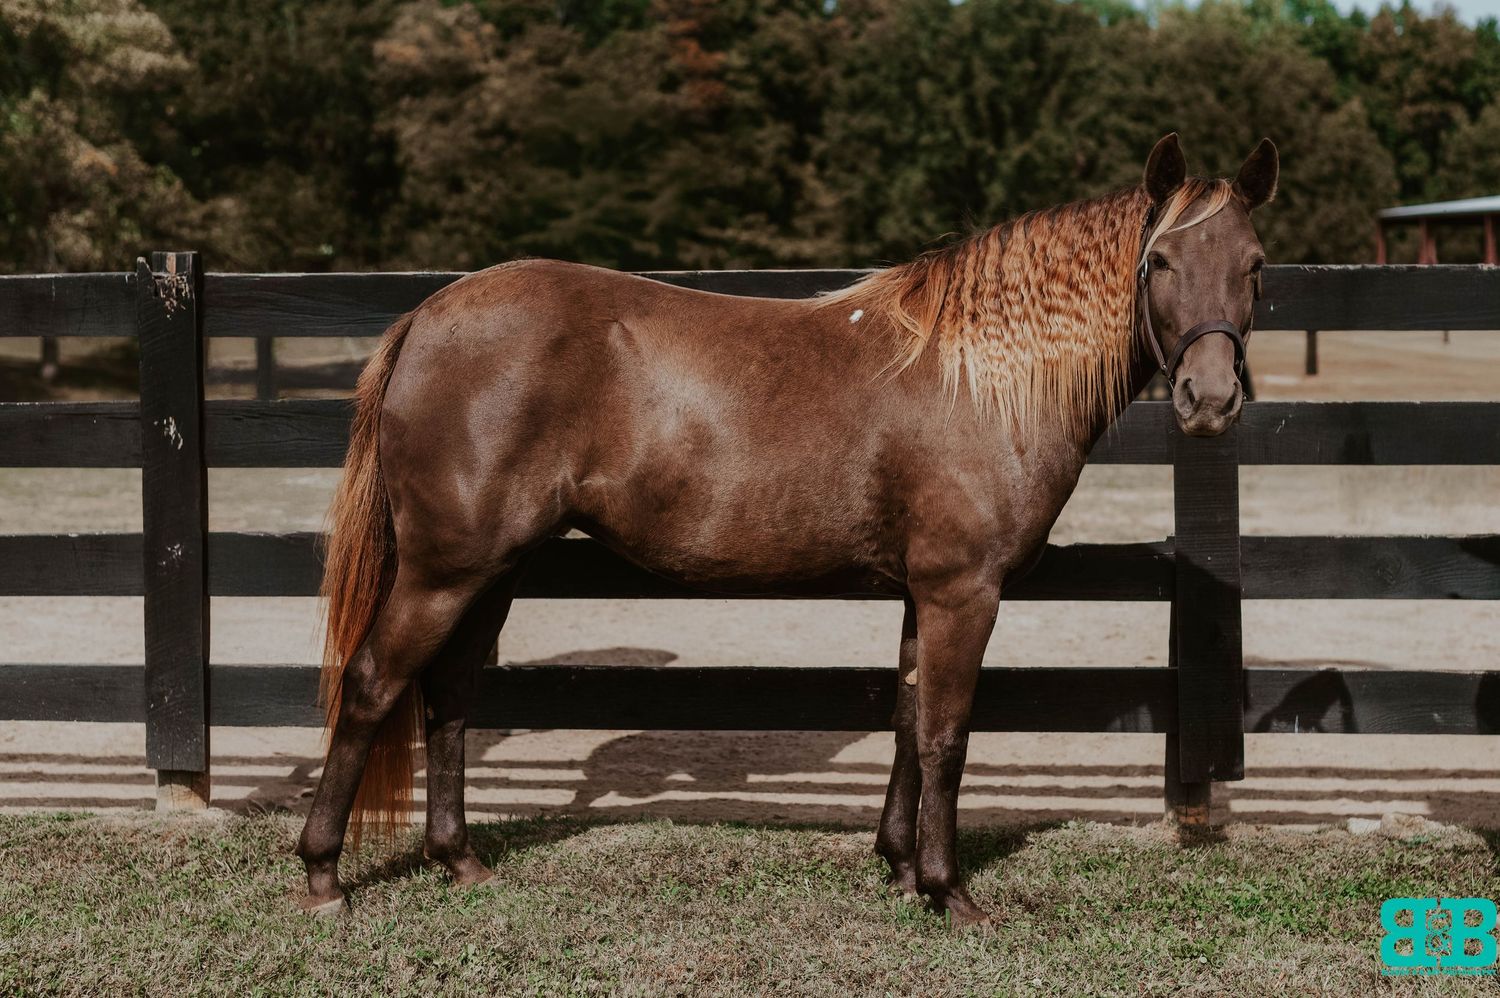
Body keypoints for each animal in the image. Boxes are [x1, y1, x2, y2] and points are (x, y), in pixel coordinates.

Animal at [296, 132, 1278, 927]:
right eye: (1159, 261)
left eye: (1257, 263)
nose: (1210, 400)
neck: (977, 379)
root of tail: (429, 315)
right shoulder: (964, 592)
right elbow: (946, 733)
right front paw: (949, 891)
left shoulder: (924, 595)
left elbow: (907, 719)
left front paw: (898, 868)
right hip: (443, 572)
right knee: (374, 684)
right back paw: (323, 876)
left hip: (493, 571)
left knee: (450, 695)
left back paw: (458, 860)